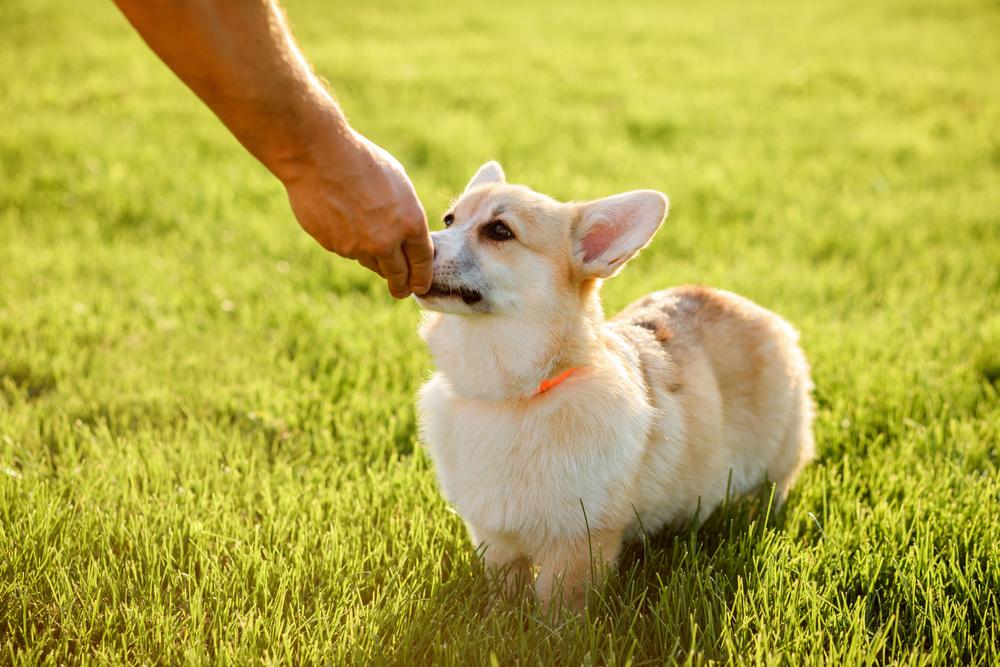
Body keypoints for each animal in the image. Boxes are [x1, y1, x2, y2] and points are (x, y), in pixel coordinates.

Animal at [414, 162, 812, 612]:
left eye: (499, 231)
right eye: (449, 220)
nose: (420, 244)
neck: (513, 394)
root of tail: (755, 310)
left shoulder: (579, 543)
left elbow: (557, 609)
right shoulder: (494, 537)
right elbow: (504, 588)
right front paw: (499, 616)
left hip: (776, 464)